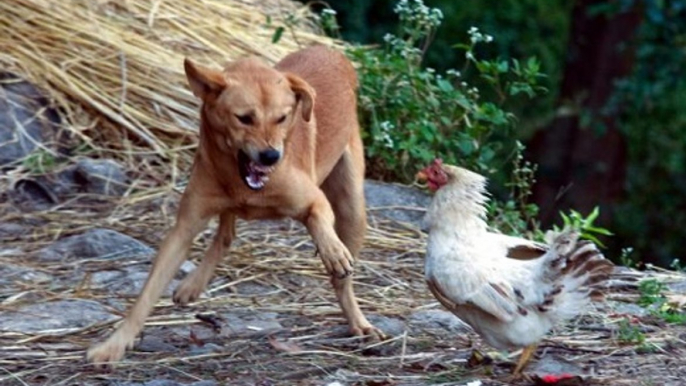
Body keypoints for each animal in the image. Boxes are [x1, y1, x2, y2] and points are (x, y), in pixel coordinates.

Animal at [86, 44, 384, 364]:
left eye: (282, 118)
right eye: (244, 118)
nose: (271, 156)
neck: (241, 182)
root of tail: (330, 50)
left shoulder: (314, 200)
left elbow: (317, 219)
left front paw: (332, 251)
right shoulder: (185, 227)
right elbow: (147, 293)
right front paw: (114, 345)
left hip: (352, 211)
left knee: (342, 281)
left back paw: (359, 322)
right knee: (226, 235)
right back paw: (193, 285)